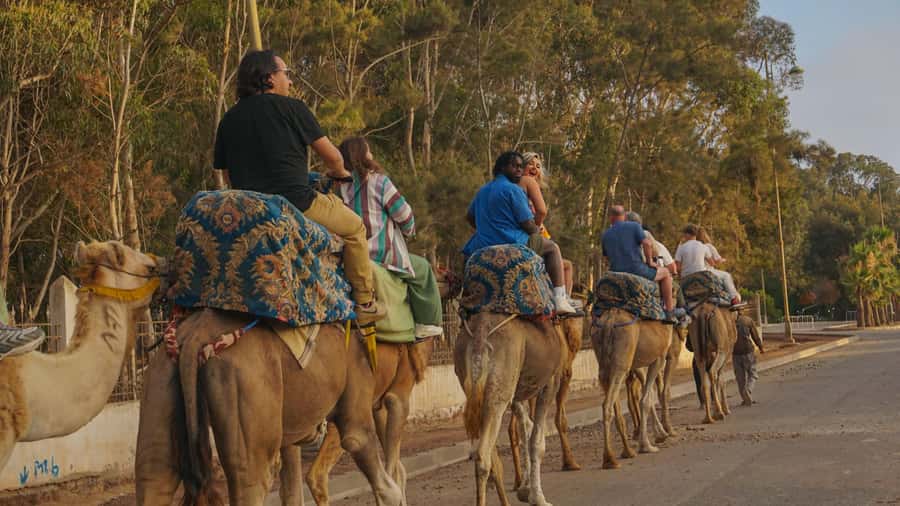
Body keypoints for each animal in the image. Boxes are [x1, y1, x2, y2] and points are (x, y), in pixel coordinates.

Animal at [455, 312, 565, 506]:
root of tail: (480, 336)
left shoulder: (516, 394)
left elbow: (525, 428)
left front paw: (525, 490)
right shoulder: (551, 382)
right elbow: (537, 442)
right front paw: (538, 498)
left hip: (476, 389)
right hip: (499, 391)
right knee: (482, 456)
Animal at [591, 307, 673, 469]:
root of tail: (609, 321)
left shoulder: (638, 364)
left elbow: (648, 395)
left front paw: (660, 433)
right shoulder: (658, 358)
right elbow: (645, 400)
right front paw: (647, 445)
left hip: (603, 365)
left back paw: (621, 453)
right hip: (621, 363)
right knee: (607, 405)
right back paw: (610, 459)